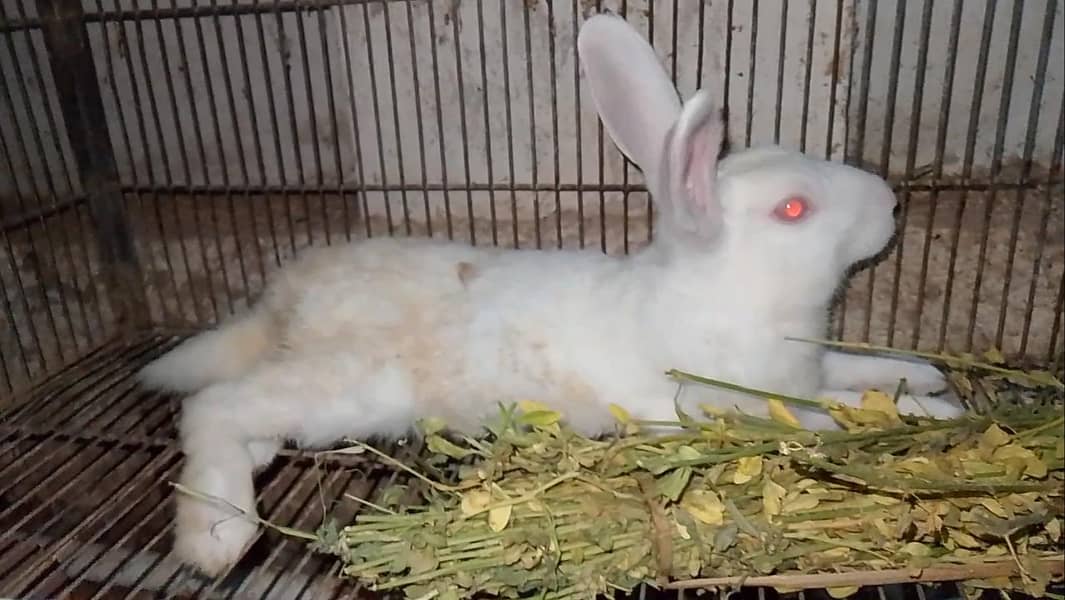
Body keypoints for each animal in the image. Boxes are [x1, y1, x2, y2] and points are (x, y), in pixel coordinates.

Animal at [136, 13, 965, 578]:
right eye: (793, 209)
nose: (890, 202)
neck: (721, 291)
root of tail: (285, 297)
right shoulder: (736, 404)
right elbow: (832, 416)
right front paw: (937, 414)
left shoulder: (808, 364)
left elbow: (857, 376)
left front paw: (921, 379)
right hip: (347, 384)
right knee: (213, 408)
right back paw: (217, 535)